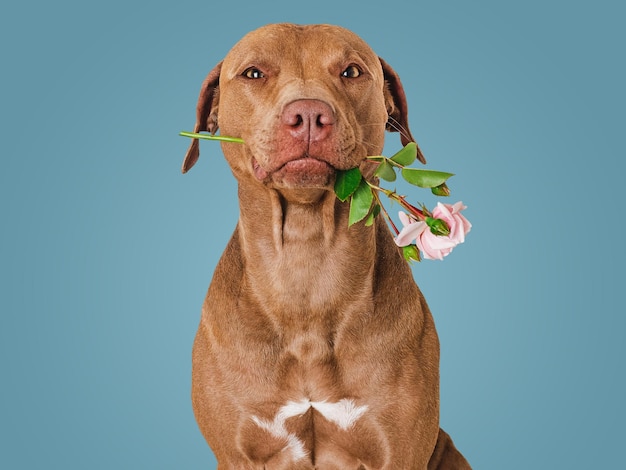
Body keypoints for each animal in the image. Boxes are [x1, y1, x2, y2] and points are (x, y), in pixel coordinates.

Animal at [180, 23, 468, 470]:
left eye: (351, 71)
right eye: (253, 73)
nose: (309, 115)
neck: (307, 259)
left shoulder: (400, 449)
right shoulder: (237, 452)